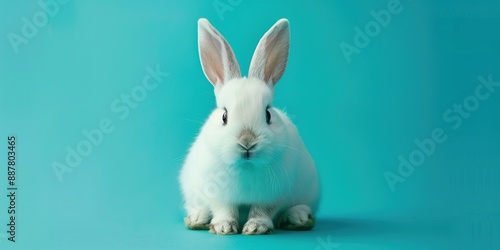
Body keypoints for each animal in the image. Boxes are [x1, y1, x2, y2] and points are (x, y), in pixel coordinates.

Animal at [180, 18, 320, 234]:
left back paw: (297, 216)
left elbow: (262, 211)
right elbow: (224, 209)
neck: (246, 167)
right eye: (224, 116)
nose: (247, 142)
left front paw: (256, 227)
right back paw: (197, 217)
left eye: (268, 114)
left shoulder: (272, 196)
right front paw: (223, 226)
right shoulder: (218, 194)